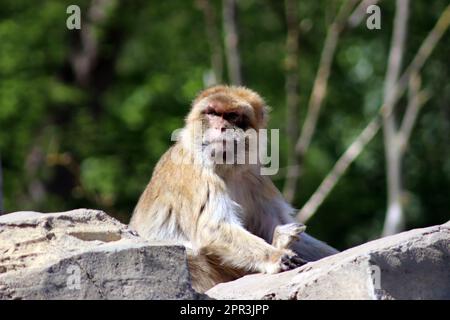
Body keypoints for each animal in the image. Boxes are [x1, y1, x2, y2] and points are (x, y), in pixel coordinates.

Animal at [130, 85, 338, 292]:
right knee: (191, 255)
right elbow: (212, 228)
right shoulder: (195, 173)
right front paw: (275, 256)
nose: (220, 127)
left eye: (232, 116)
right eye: (213, 113)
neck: (226, 167)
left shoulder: (256, 177)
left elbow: (277, 222)